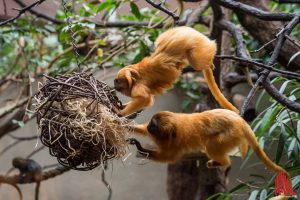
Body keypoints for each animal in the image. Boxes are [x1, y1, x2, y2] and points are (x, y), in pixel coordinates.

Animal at [131, 108, 286, 174]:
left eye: (153, 126)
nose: (149, 127)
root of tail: (240, 122)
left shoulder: (173, 143)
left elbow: (168, 157)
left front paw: (141, 148)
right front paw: (126, 125)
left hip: (231, 135)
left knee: (212, 145)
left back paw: (222, 162)